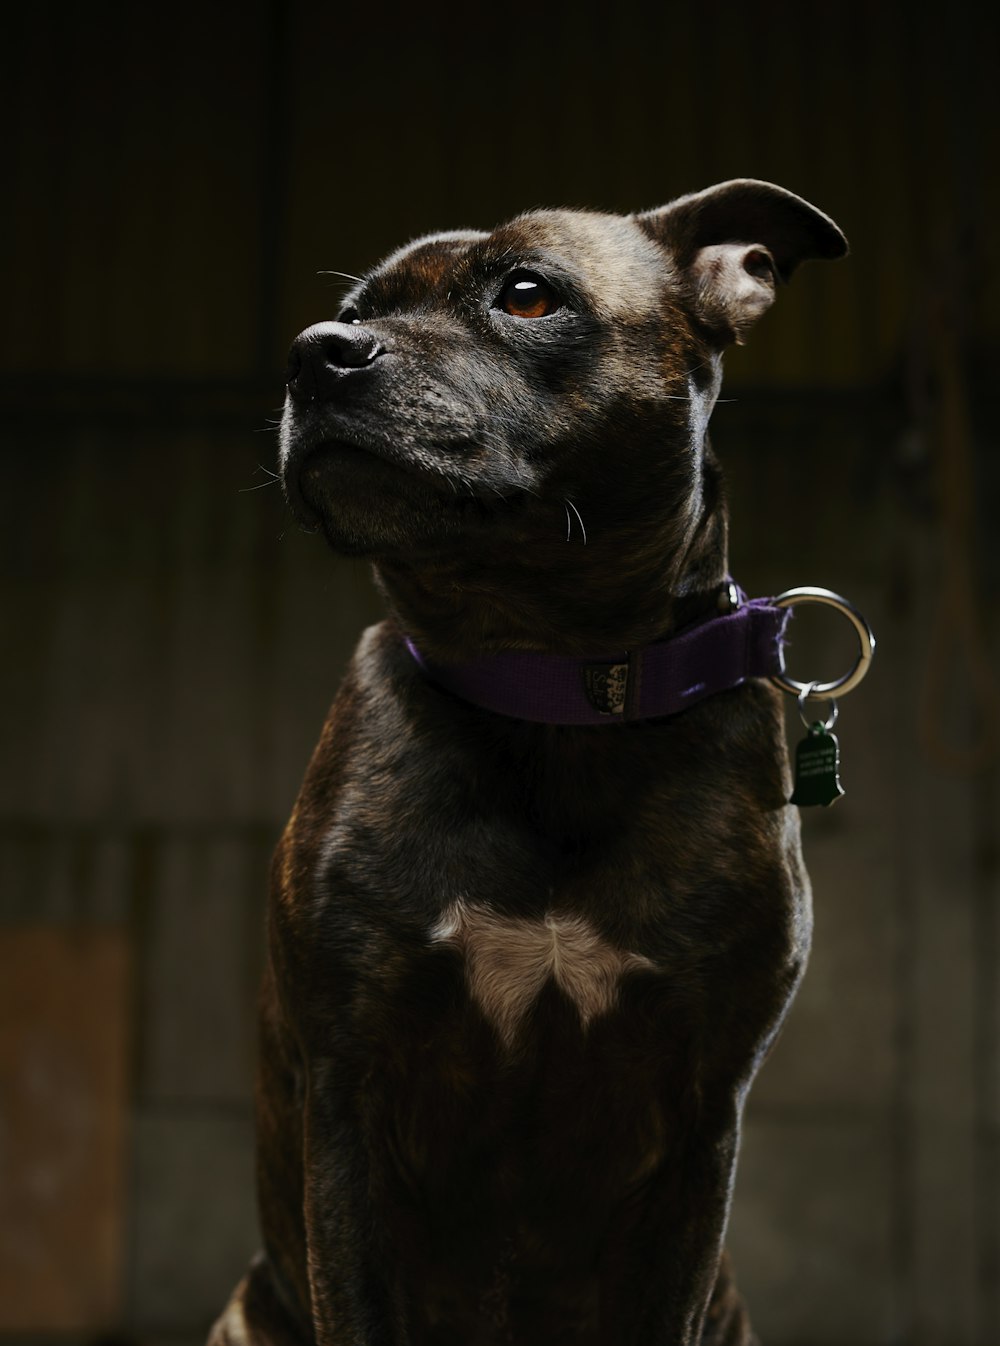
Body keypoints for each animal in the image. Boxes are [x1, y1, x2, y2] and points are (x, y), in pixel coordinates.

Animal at [211, 181, 845, 1346]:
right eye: (355, 309)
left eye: (528, 294)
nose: (315, 353)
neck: (550, 680)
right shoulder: (350, 1105)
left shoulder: (696, 1134)